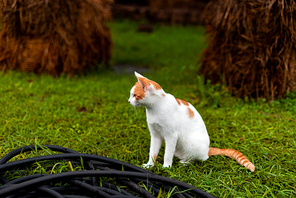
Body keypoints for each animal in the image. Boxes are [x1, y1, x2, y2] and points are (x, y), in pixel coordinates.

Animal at [128, 71, 256, 172]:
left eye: (134, 95)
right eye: (131, 95)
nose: (128, 101)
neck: (155, 108)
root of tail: (207, 150)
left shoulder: (171, 136)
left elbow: (167, 154)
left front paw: (166, 167)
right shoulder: (155, 135)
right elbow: (152, 152)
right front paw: (150, 165)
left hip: (191, 143)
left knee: (199, 159)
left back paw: (185, 162)